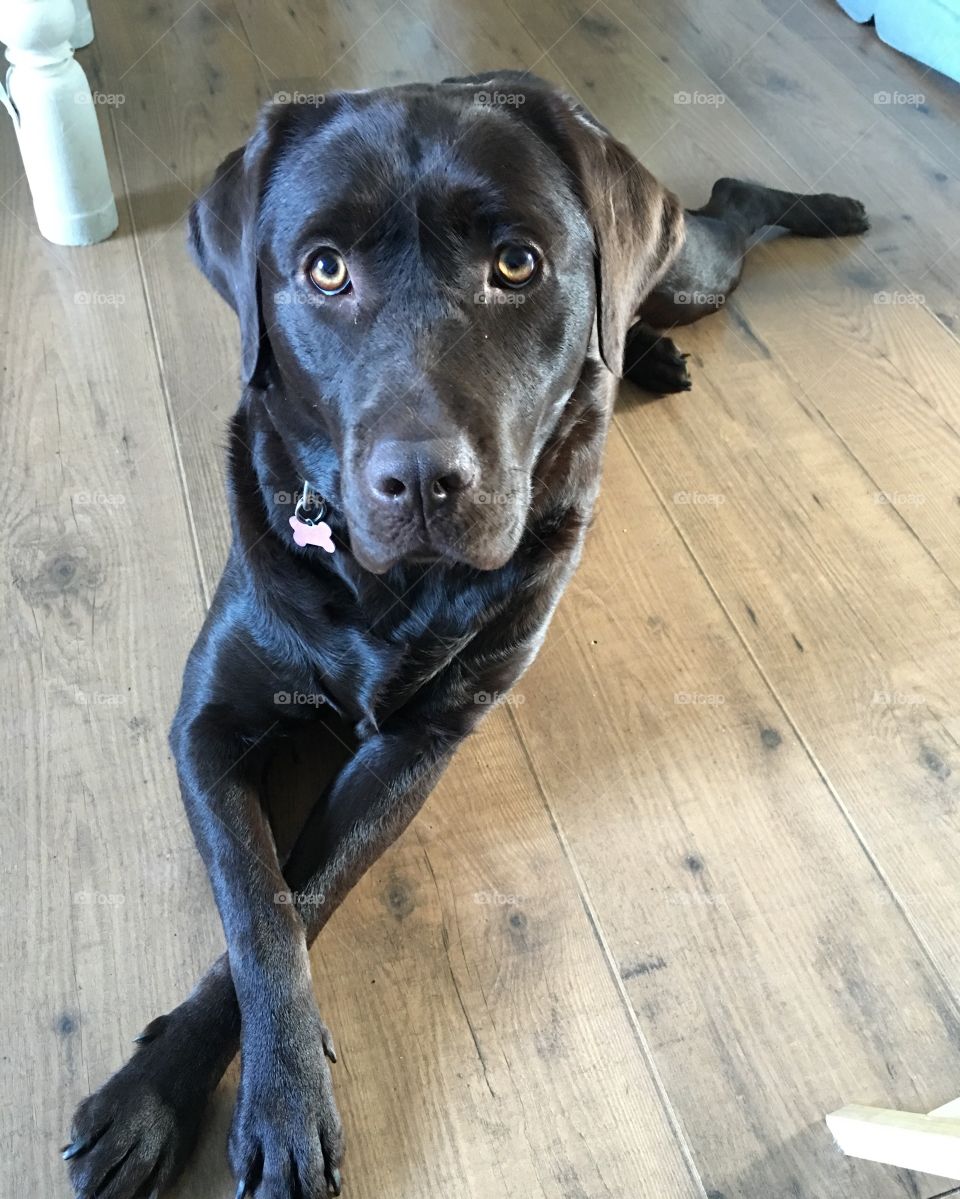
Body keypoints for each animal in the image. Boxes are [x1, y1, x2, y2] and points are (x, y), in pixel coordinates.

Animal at [63, 70, 862, 1194]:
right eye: (324, 268)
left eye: (516, 263)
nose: (422, 481)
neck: (387, 587)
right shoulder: (207, 721)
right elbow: (259, 904)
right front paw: (165, 1098)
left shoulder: (420, 744)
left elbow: (303, 890)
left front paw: (263, 1099)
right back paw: (655, 349)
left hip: (688, 269)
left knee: (726, 208)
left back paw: (824, 214)